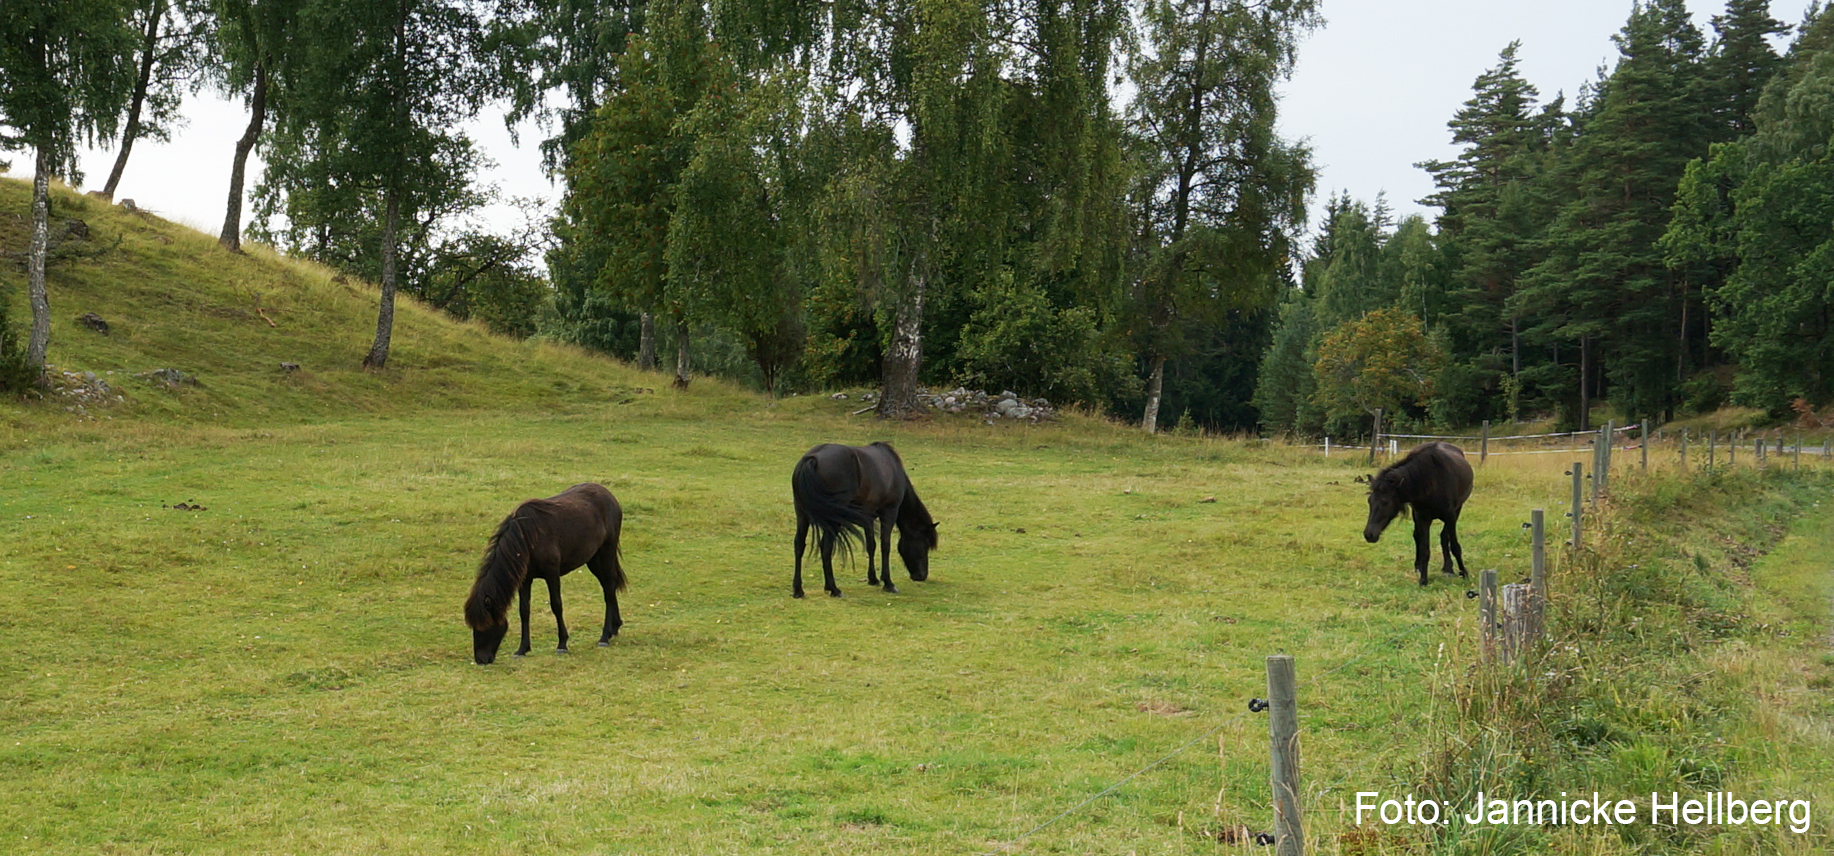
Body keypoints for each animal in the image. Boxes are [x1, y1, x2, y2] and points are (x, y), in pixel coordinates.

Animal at [462, 483, 627, 663]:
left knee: (609, 589)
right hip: (594, 559)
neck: (527, 538)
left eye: (486, 624)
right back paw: (614, 628)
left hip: (606, 552)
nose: (481, 660)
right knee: (608, 586)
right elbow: (524, 610)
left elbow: (556, 605)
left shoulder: (552, 574)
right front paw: (522, 649)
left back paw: (604, 637)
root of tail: (608, 495)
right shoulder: (525, 580)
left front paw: (562, 644)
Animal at [788, 445, 939, 601]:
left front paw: (873, 579)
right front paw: (888, 583)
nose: (922, 576)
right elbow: (885, 546)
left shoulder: (868, 517)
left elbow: (871, 545)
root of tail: (813, 459)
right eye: (925, 544)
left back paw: (799, 590)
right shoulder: (889, 512)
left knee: (799, 545)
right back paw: (834, 589)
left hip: (803, 515)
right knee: (826, 547)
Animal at [1364, 441, 1474, 590]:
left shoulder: (1451, 516)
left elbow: (1455, 546)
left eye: (1385, 502)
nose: (1368, 534)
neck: (1432, 481)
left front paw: (1464, 572)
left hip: (1456, 511)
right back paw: (1420, 567)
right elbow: (1424, 549)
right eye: (1369, 501)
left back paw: (1448, 568)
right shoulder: (1422, 518)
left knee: (1444, 537)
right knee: (1418, 536)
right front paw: (1423, 579)